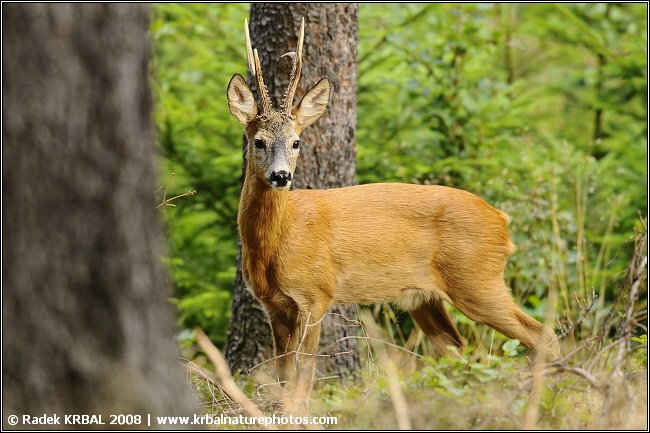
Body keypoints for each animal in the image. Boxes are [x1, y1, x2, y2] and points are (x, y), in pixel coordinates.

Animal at [226, 18, 562, 400]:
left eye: (296, 142)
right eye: (258, 141)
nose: (281, 176)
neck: (280, 237)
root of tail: (502, 220)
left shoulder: (316, 295)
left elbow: (304, 375)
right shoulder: (274, 306)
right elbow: (283, 377)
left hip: (478, 280)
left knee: (541, 336)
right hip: (425, 298)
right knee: (459, 350)